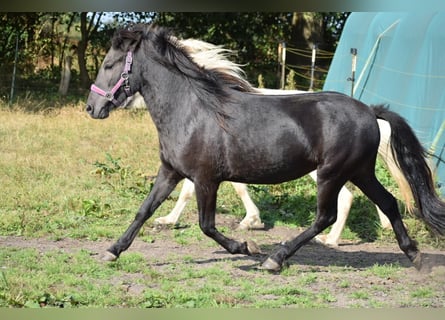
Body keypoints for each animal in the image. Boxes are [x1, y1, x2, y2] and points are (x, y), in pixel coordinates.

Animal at [85, 23, 442, 272]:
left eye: (109, 65)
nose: (91, 108)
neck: (192, 109)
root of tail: (369, 110)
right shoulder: (171, 172)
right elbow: (144, 210)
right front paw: (112, 250)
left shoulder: (205, 179)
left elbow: (206, 225)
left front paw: (248, 247)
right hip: (360, 171)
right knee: (389, 202)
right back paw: (414, 255)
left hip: (332, 173)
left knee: (326, 215)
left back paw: (277, 258)